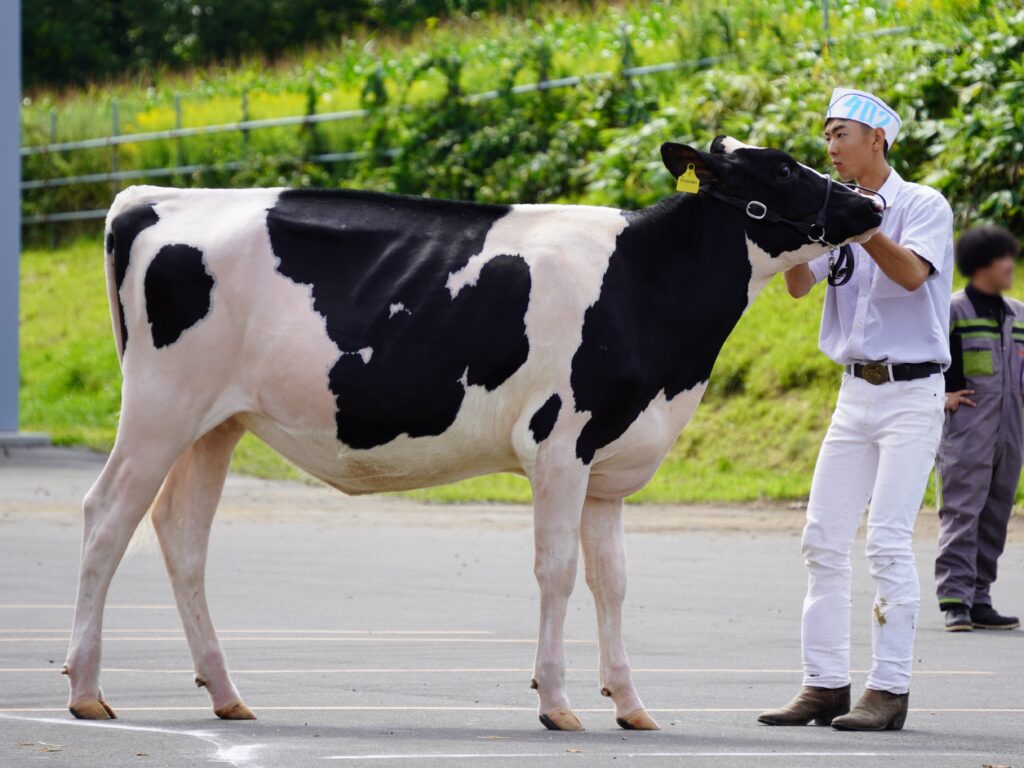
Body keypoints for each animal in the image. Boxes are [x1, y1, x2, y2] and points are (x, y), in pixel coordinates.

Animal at [64, 134, 880, 733]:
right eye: (782, 167)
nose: (870, 202)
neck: (645, 289)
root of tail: (152, 197)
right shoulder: (559, 444)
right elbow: (558, 572)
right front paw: (557, 704)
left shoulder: (609, 464)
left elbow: (613, 581)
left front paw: (631, 705)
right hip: (160, 407)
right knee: (105, 519)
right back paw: (86, 691)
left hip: (216, 423)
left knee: (181, 534)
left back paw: (226, 693)